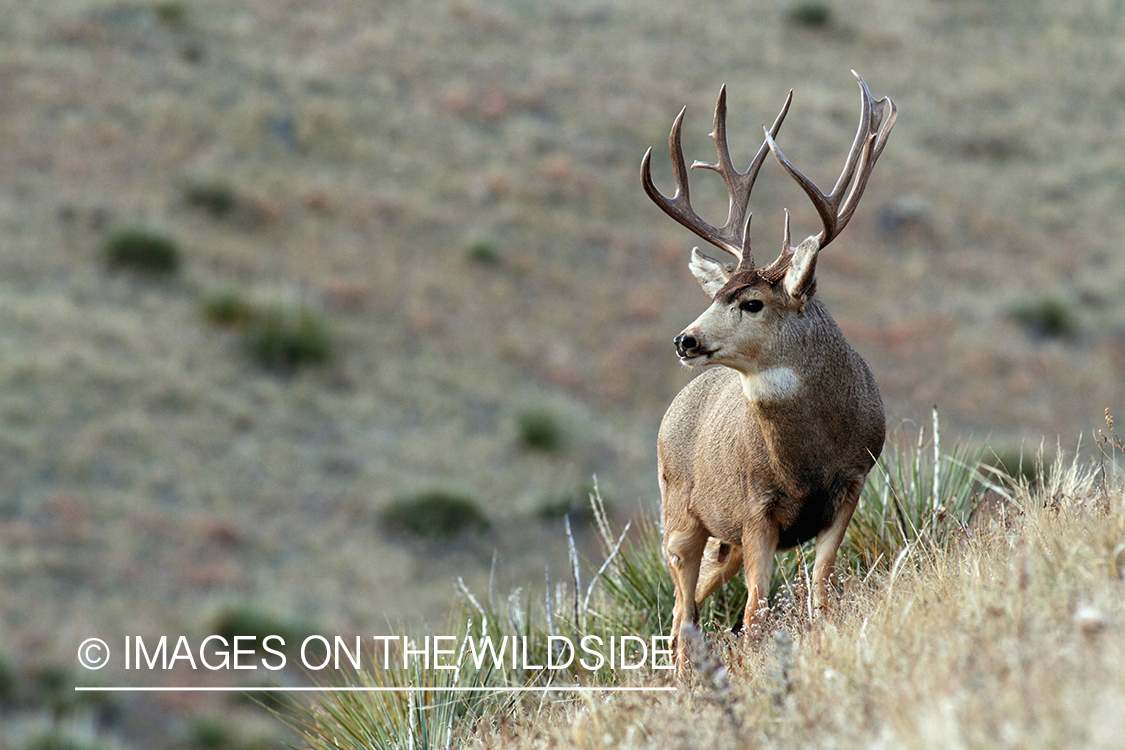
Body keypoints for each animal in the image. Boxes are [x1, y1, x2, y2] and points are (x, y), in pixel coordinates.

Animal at [640, 72, 896, 669]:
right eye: (717, 295)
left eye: (752, 302)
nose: (685, 339)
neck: (806, 460)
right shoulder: (755, 509)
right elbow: (756, 612)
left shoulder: (853, 482)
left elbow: (821, 587)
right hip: (680, 514)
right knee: (683, 612)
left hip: (723, 540)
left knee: (686, 607)